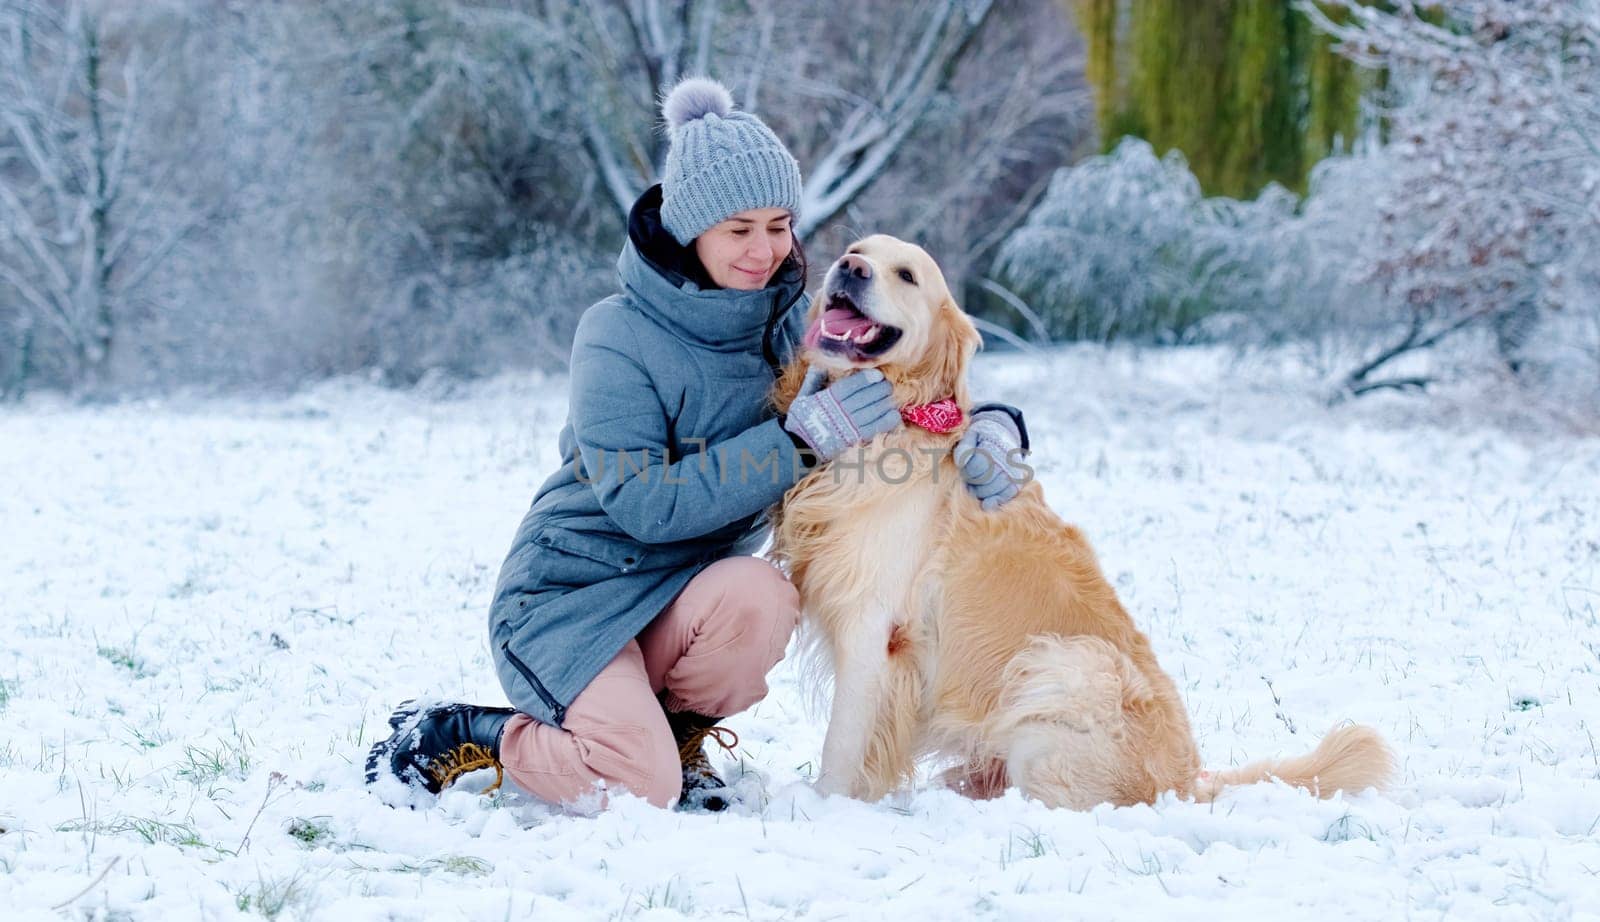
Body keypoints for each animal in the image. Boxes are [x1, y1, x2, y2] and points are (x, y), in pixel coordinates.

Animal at [768, 235, 1395, 806]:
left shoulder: (871, 626)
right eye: (856, 249)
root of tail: (1187, 782)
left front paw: (822, 805)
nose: (850, 268)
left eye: (905, 274)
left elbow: (842, 743)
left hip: (1065, 663)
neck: (899, 415)